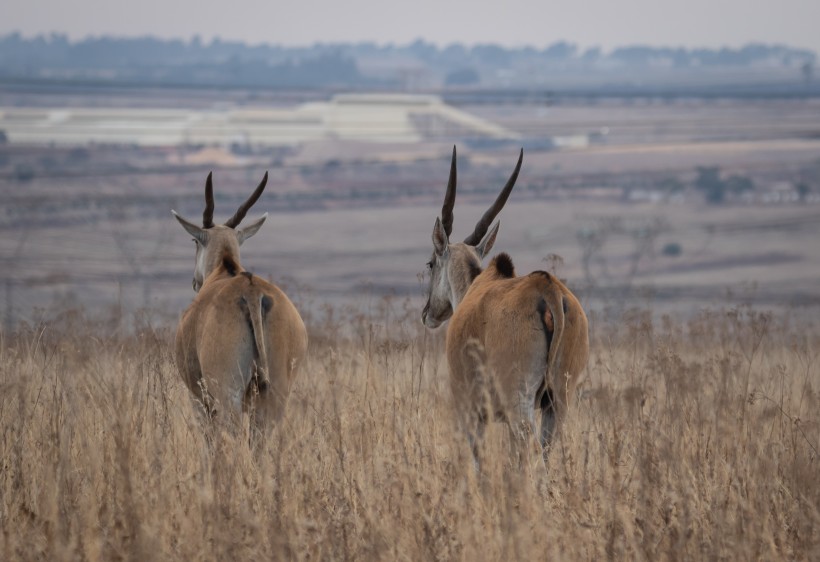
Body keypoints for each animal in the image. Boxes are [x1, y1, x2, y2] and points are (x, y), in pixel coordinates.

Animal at [172, 171, 308, 428]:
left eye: (194, 242)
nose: (194, 281)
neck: (226, 268)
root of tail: (252, 292)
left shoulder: (200, 401)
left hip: (227, 397)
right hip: (275, 396)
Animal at [422, 147, 588, 462]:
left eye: (430, 263)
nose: (427, 313)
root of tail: (548, 287)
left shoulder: (471, 410)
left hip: (519, 403)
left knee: (531, 449)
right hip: (557, 401)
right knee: (547, 451)